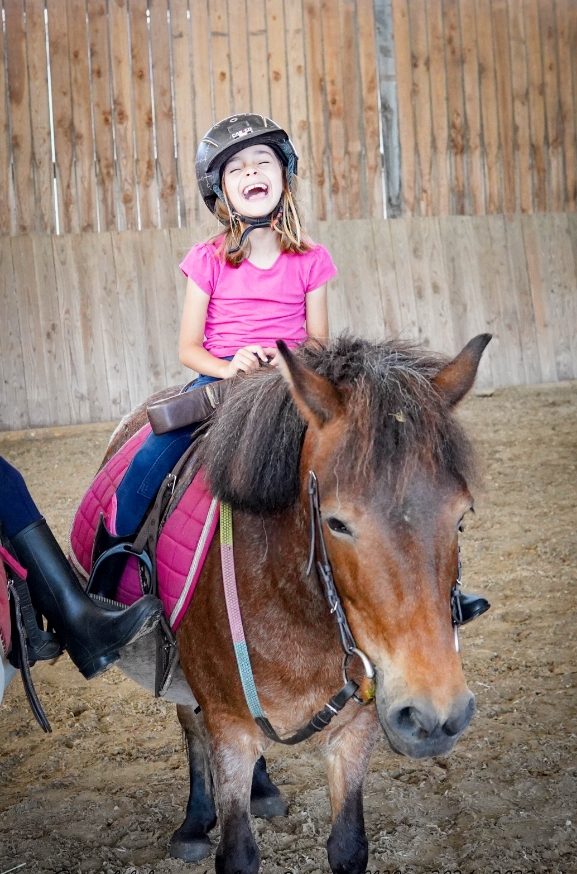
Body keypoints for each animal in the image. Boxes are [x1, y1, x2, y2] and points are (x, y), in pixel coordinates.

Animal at [104, 334, 490, 872]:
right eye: (337, 523)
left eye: (461, 517)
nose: (434, 716)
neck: (290, 603)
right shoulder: (229, 723)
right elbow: (237, 853)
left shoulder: (359, 723)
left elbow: (349, 845)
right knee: (190, 720)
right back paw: (194, 822)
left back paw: (262, 790)